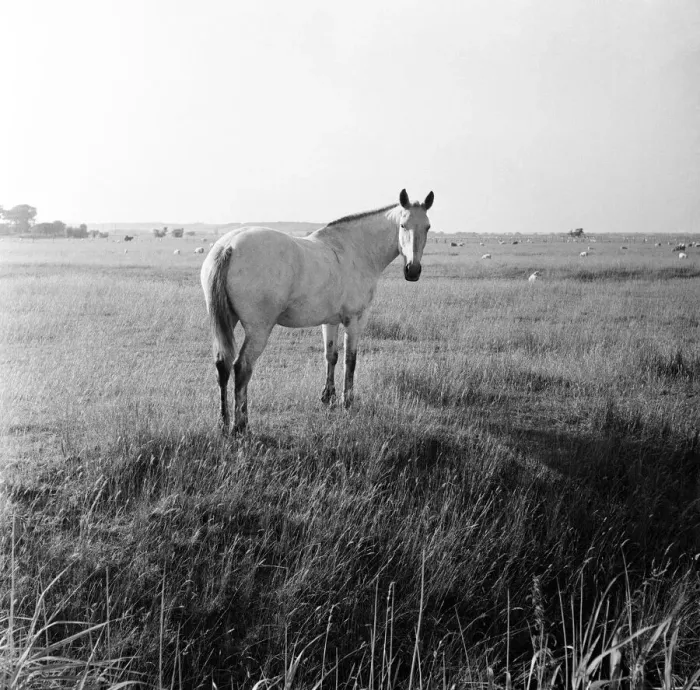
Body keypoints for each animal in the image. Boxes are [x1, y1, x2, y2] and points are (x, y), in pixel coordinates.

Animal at [200, 188, 434, 433]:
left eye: (427, 227)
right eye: (403, 225)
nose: (413, 270)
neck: (356, 249)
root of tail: (229, 245)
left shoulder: (330, 321)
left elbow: (331, 356)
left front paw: (328, 397)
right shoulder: (355, 319)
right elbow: (350, 360)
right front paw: (348, 402)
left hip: (228, 322)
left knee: (223, 365)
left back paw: (223, 423)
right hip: (258, 330)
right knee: (242, 368)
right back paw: (241, 425)